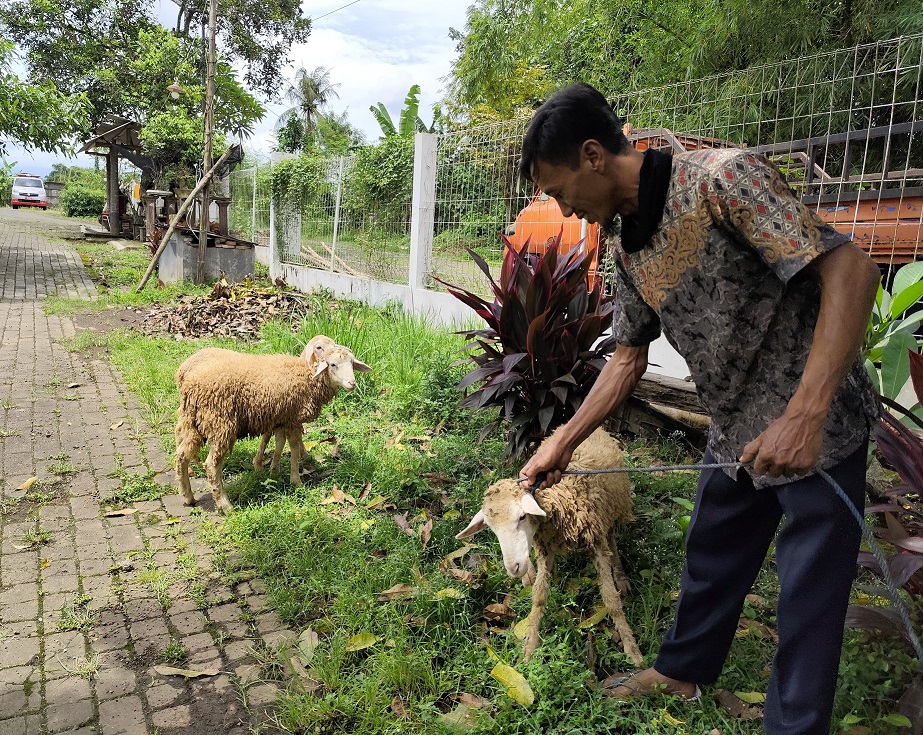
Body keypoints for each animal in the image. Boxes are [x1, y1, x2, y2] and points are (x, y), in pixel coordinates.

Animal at [175, 342, 370, 516]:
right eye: (333, 364)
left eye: (352, 364)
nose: (352, 383)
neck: (308, 377)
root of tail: (190, 385)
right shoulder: (292, 419)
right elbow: (293, 449)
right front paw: (296, 480)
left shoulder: (280, 419)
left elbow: (279, 444)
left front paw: (274, 471)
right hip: (220, 424)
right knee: (211, 466)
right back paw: (226, 505)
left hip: (191, 421)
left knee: (181, 454)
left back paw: (188, 495)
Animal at [454, 426, 644, 668]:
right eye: (491, 528)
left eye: (522, 516)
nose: (514, 568)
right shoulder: (545, 547)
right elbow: (539, 596)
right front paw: (529, 647)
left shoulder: (596, 541)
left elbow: (611, 600)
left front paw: (632, 650)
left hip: (613, 510)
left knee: (612, 541)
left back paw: (621, 576)